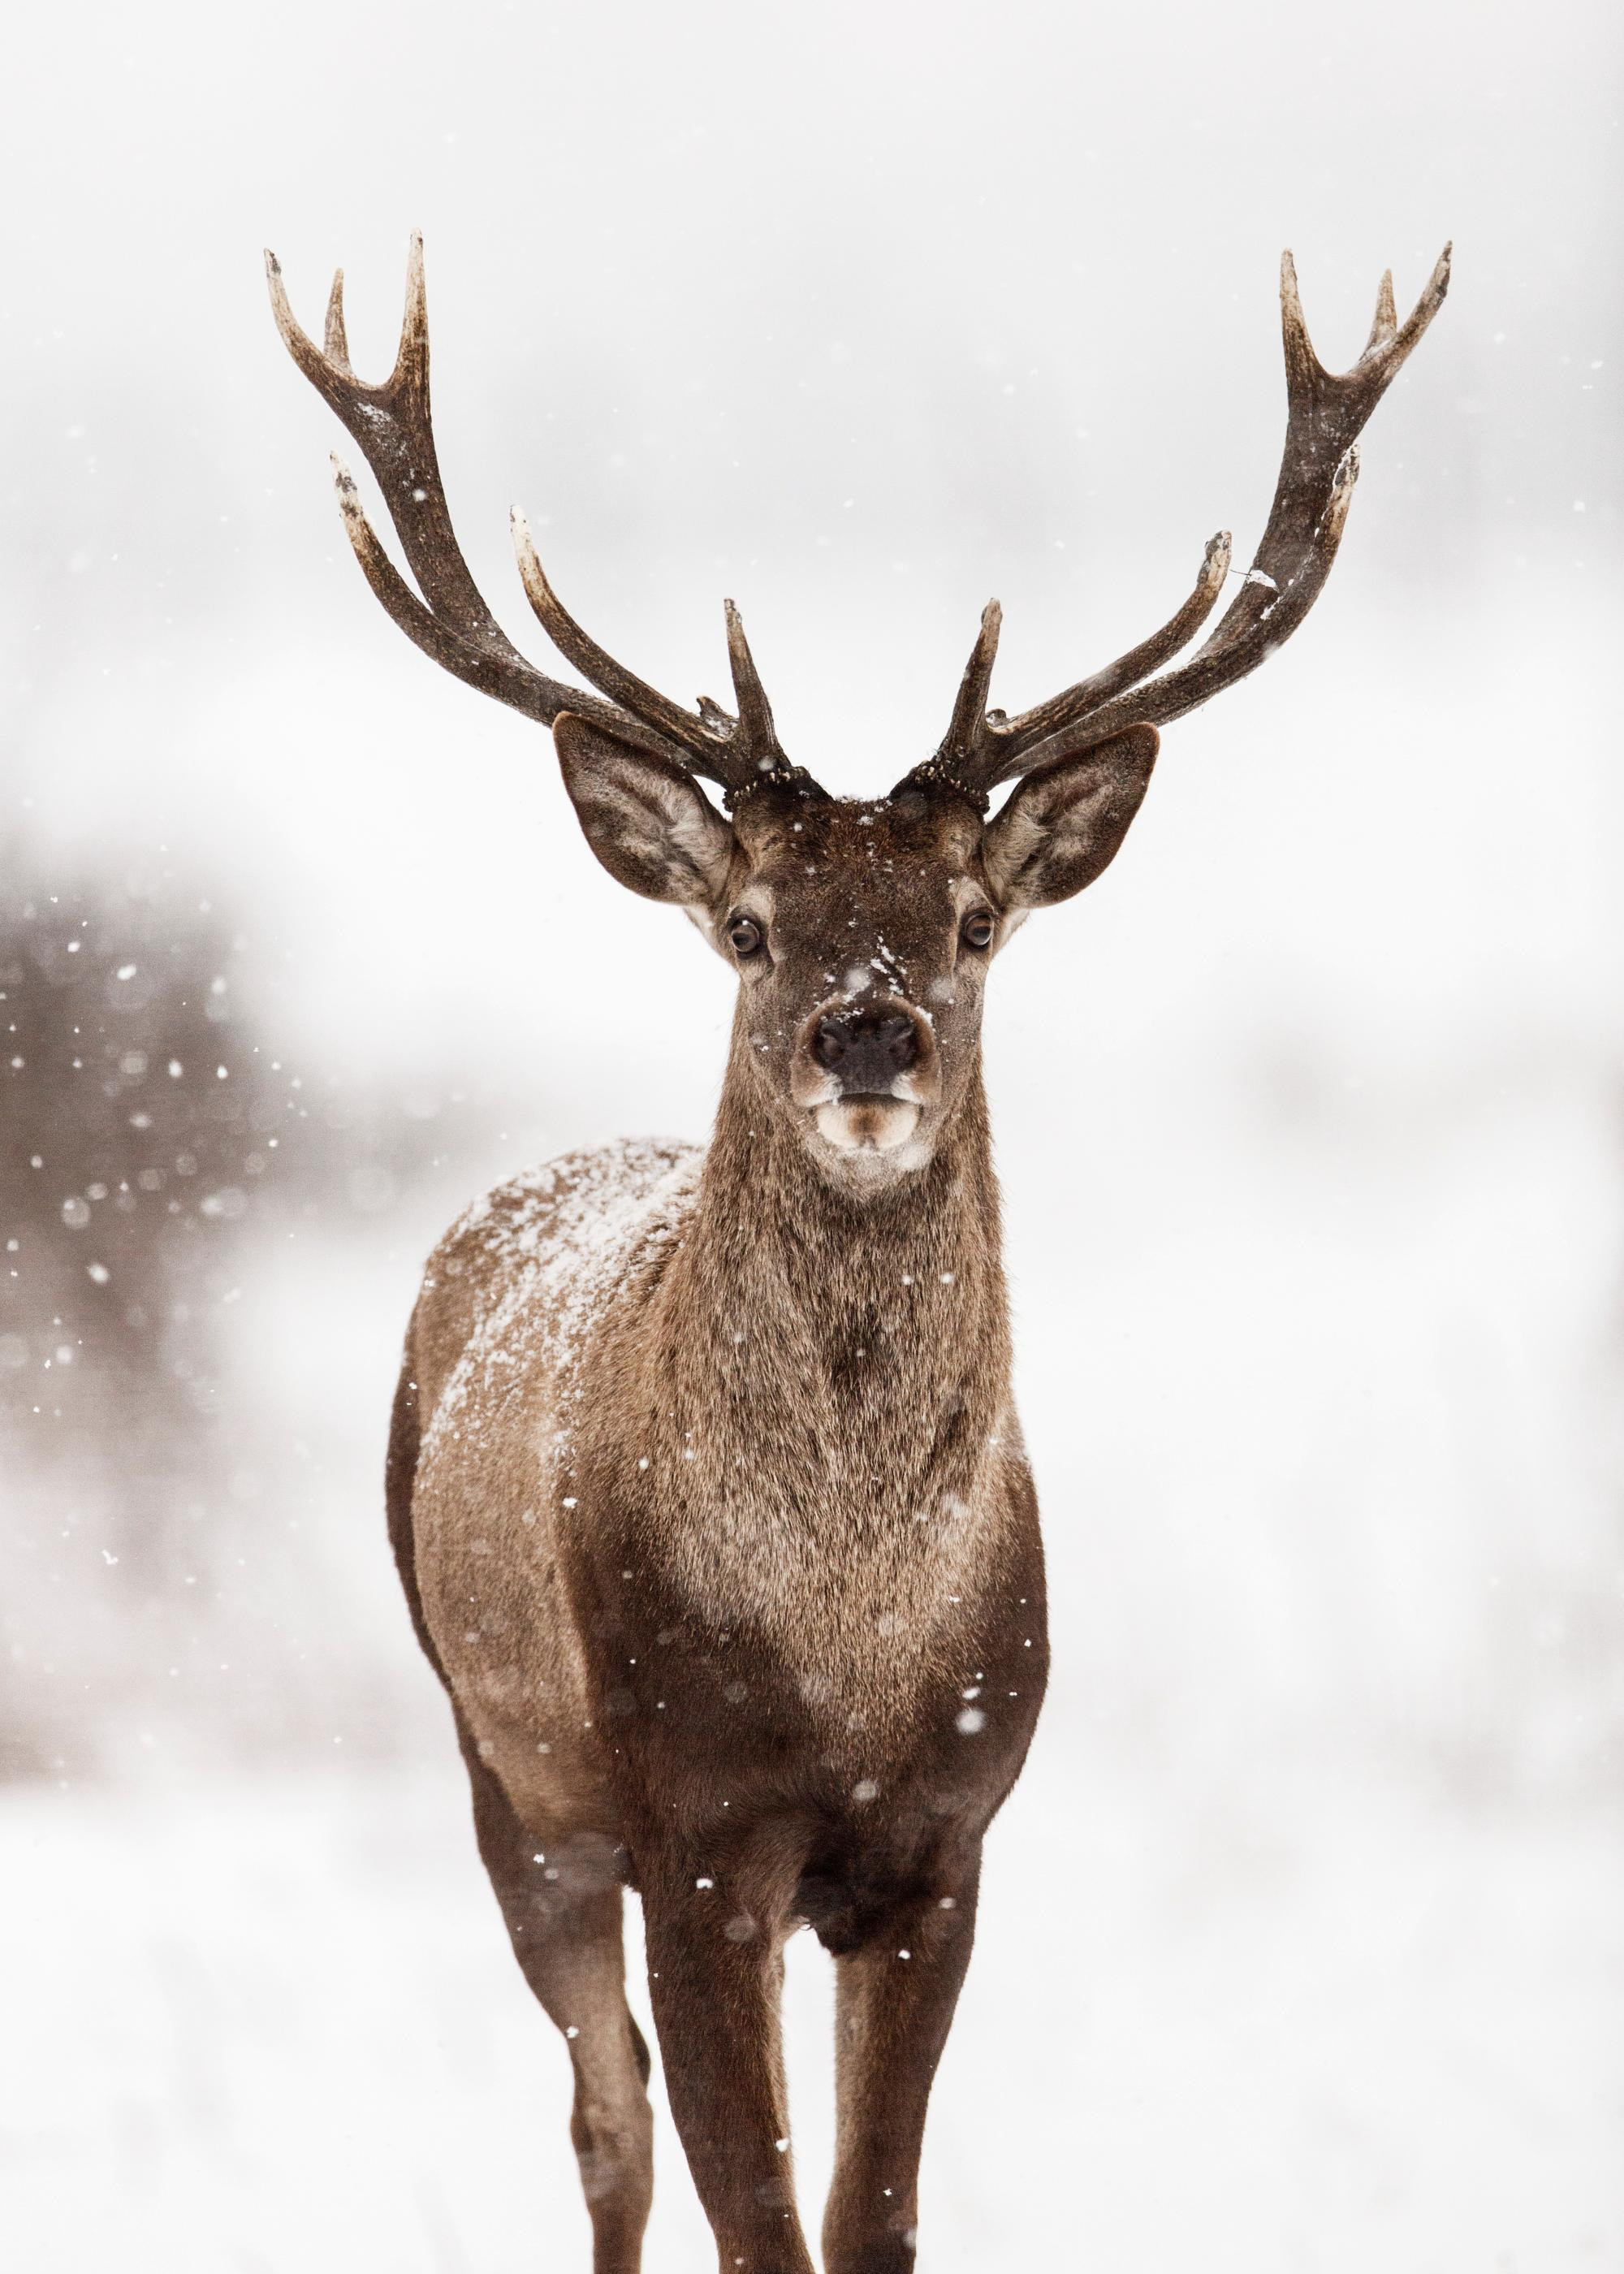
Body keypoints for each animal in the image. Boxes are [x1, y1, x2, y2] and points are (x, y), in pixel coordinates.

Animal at [268, 235, 1449, 2274]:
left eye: (968, 918)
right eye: (750, 923)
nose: (867, 1031)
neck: (843, 1644)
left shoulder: (944, 1833)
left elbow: (869, 2213)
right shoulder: (691, 1822)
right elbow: (757, 2218)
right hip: (504, 1767)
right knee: (604, 2125)